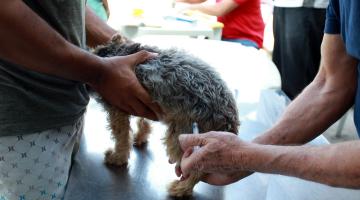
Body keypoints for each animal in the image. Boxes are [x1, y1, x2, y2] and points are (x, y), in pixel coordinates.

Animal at [92, 34, 239, 197]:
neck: (116, 51)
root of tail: (229, 118)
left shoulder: (118, 106)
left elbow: (121, 137)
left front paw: (118, 157)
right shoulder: (140, 102)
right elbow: (143, 122)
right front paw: (140, 137)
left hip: (183, 135)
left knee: (198, 167)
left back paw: (182, 188)